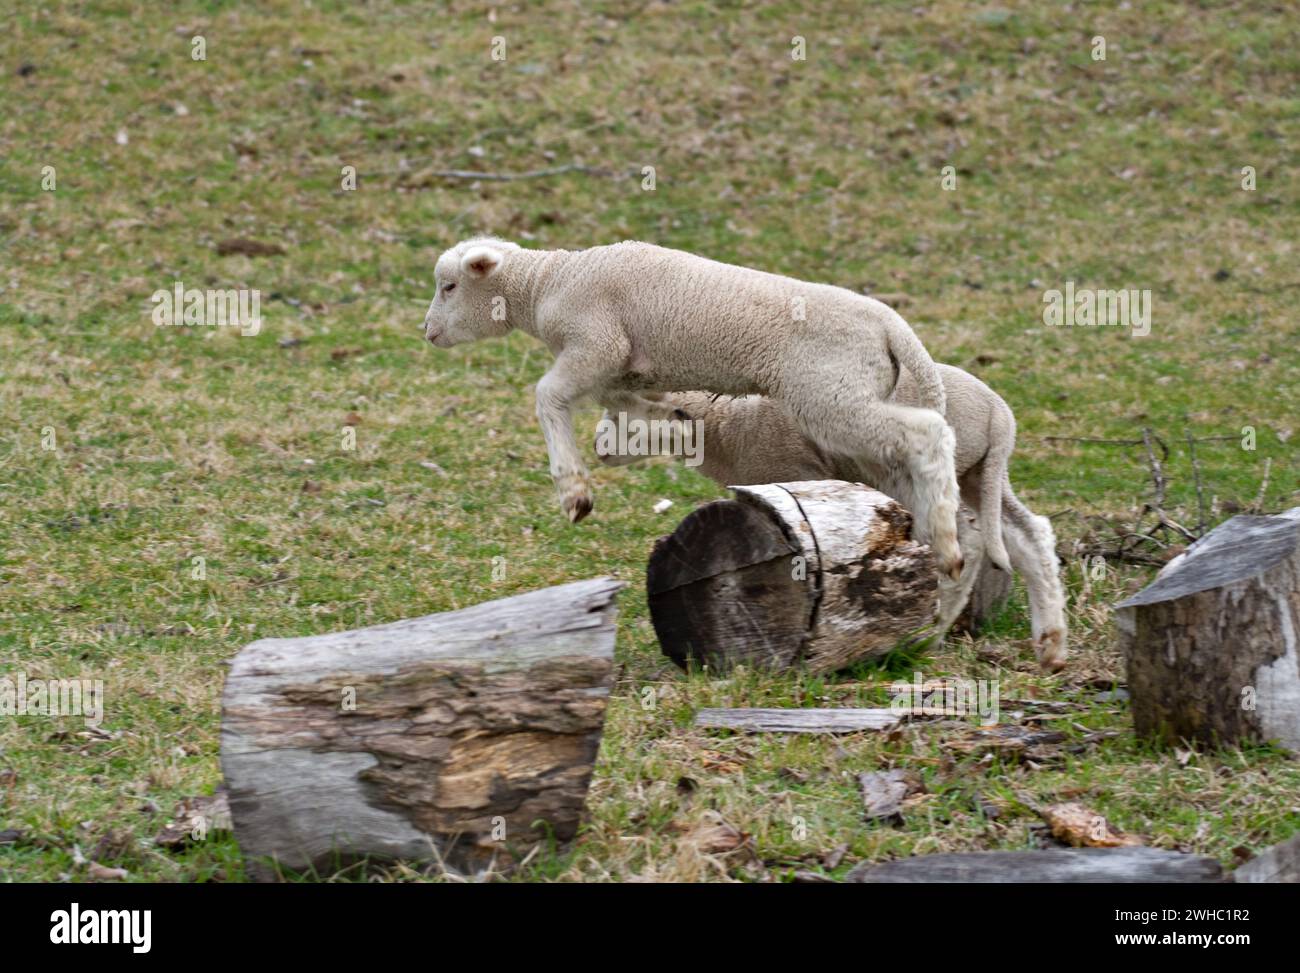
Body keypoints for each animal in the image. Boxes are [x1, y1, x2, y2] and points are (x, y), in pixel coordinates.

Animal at [423, 238, 967, 574]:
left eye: (449, 287)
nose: (426, 332)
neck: (546, 284)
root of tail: (892, 327)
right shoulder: (621, 365)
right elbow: (621, 400)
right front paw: (668, 419)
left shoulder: (596, 343)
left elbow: (547, 396)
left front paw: (574, 492)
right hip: (853, 396)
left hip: (830, 395)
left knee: (929, 432)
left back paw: (945, 541)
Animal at [595, 364, 1066, 671]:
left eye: (624, 414)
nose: (599, 450)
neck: (722, 424)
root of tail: (998, 416)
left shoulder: (795, 470)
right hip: (979, 475)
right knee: (1029, 535)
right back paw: (1050, 646)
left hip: (925, 473)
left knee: (963, 542)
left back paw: (929, 635)